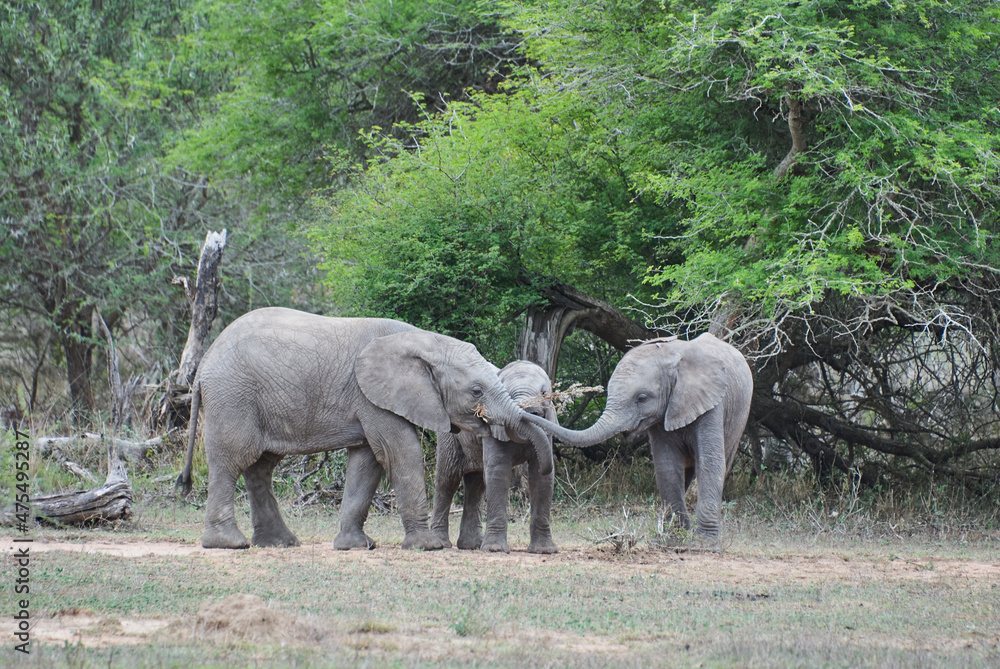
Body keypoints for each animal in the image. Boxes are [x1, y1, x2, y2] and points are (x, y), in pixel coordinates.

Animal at [431, 360, 558, 554]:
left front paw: (544, 551)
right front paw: (495, 549)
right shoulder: (493, 425)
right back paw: (441, 544)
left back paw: (471, 545)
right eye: (506, 393)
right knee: (447, 479)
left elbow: (541, 477)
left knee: (476, 484)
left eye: (544, 393)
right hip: (449, 436)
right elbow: (499, 471)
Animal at [522, 333, 752, 548]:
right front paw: (672, 542)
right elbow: (667, 466)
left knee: (723, 463)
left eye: (642, 398)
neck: (672, 356)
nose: (526, 410)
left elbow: (710, 463)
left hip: (740, 417)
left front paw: (705, 546)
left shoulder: (712, 404)